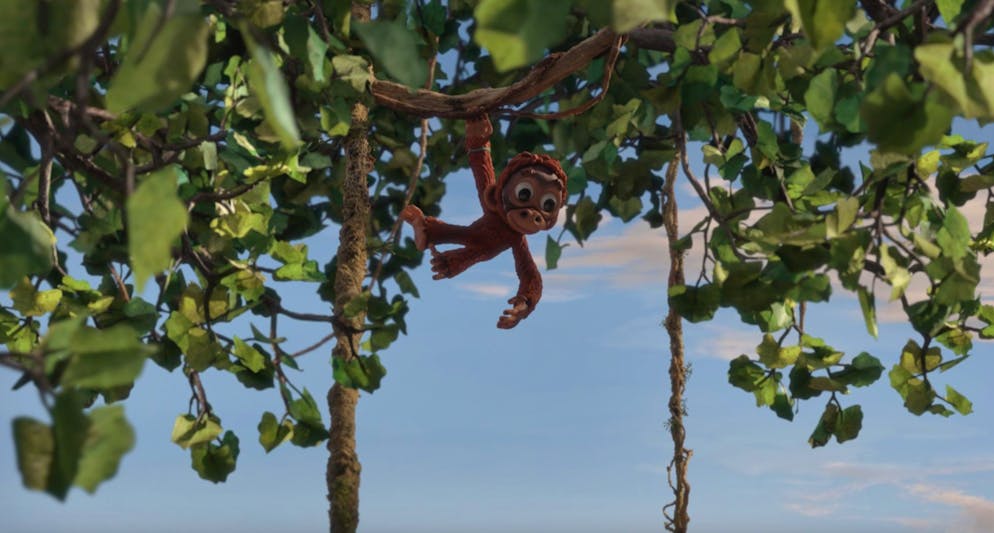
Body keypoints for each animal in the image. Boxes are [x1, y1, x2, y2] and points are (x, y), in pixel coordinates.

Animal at [400, 115, 568, 329]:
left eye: (548, 204)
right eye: (523, 193)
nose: (532, 215)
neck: (504, 225)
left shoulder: (516, 239)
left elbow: (530, 275)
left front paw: (518, 310)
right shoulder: (494, 215)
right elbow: (480, 161)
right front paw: (480, 130)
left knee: (472, 252)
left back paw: (446, 262)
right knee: (458, 235)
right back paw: (422, 230)